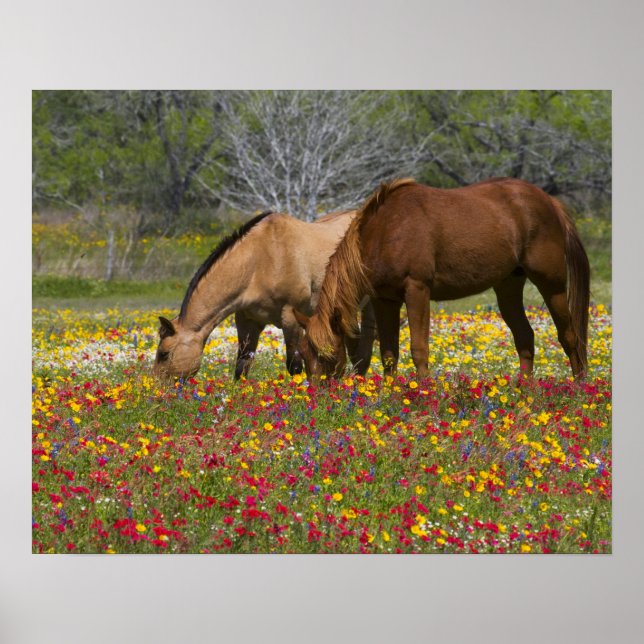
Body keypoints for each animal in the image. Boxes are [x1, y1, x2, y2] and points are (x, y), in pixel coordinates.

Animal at [152, 210, 376, 380]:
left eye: (164, 354)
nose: (159, 390)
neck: (261, 261)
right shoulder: (247, 321)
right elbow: (242, 364)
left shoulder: (291, 318)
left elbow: (294, 365)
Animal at [294, 177, 590, 381]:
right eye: (305, 354)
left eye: (328, 354)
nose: (319, 396)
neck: (386, 231)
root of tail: (549, 202)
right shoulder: (384, 299)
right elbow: (389, 353)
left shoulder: (417, 290)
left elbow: (419, 348)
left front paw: (423, 393)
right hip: (508, 285)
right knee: (525, 337)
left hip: (551, 284)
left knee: (570, 336)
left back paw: (579, 388)